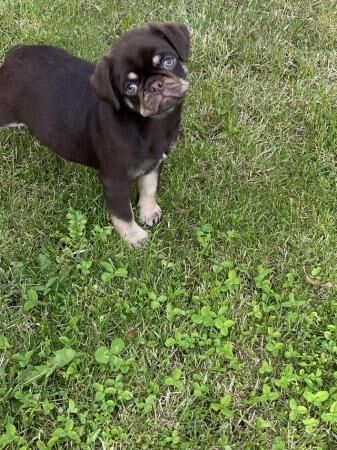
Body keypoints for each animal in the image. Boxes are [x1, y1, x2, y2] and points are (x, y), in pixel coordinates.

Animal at [0, 21, 189, 244]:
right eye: (130, 87)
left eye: (169, 62)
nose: (155, 85)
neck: (149, 122)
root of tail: (12, 55)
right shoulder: (115, 181)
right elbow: (123, 214)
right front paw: (134, 238)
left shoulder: (154, 163)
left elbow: (149, 187)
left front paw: (148, 212)